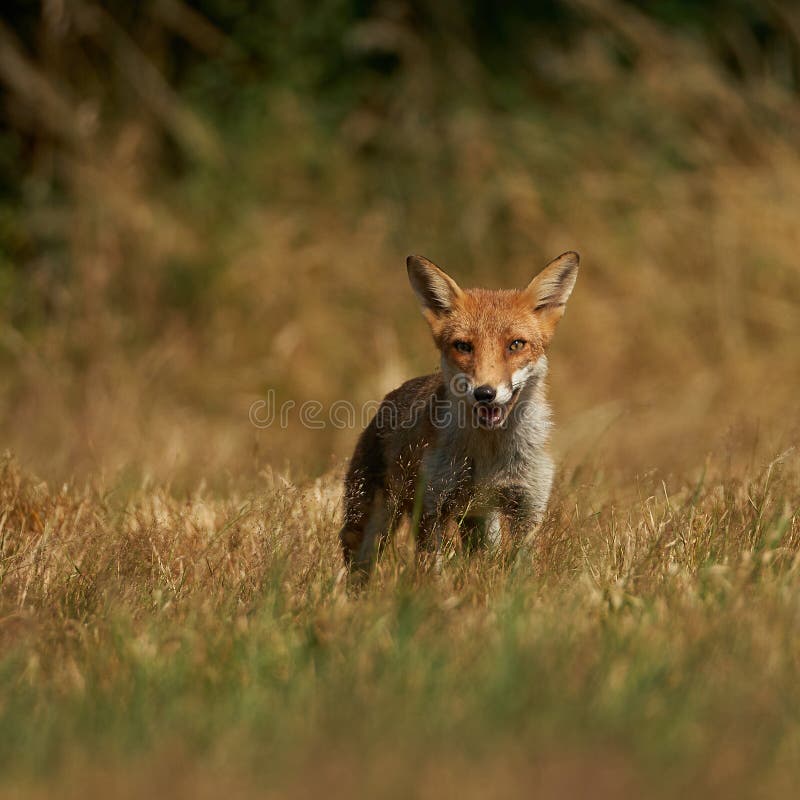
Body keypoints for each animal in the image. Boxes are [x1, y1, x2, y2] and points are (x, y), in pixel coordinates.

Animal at [339, 251, 579, 573]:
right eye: (463, 346)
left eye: (516, 344)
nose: (485, 393)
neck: (489, 455)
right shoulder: (431, 507)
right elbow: (433, 572)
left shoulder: (528, 507)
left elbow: (522, 572)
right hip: (372, 521)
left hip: (481, 523)